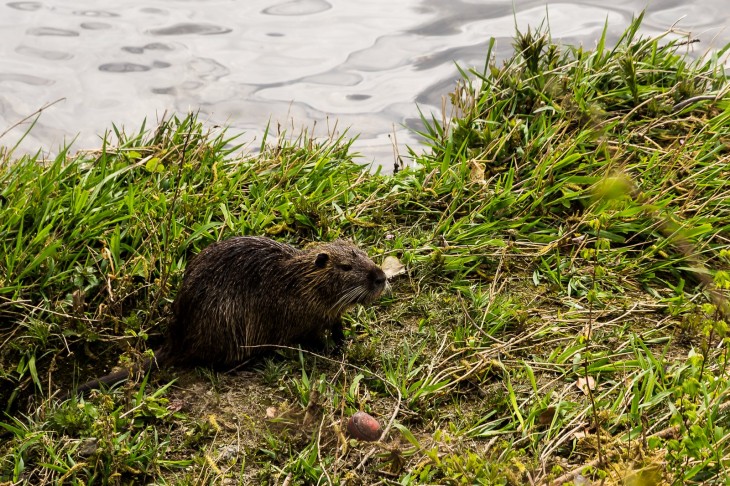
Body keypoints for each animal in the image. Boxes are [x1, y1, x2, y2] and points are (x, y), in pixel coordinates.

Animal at [67, 236, 386, 398]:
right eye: (345, 267)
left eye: (363, 254)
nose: (381, 277)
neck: (297, 281)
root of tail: (175, 341)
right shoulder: (297, 315)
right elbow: (311, 337)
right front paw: (328, 349)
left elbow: (336, 326)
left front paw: (343, 341)